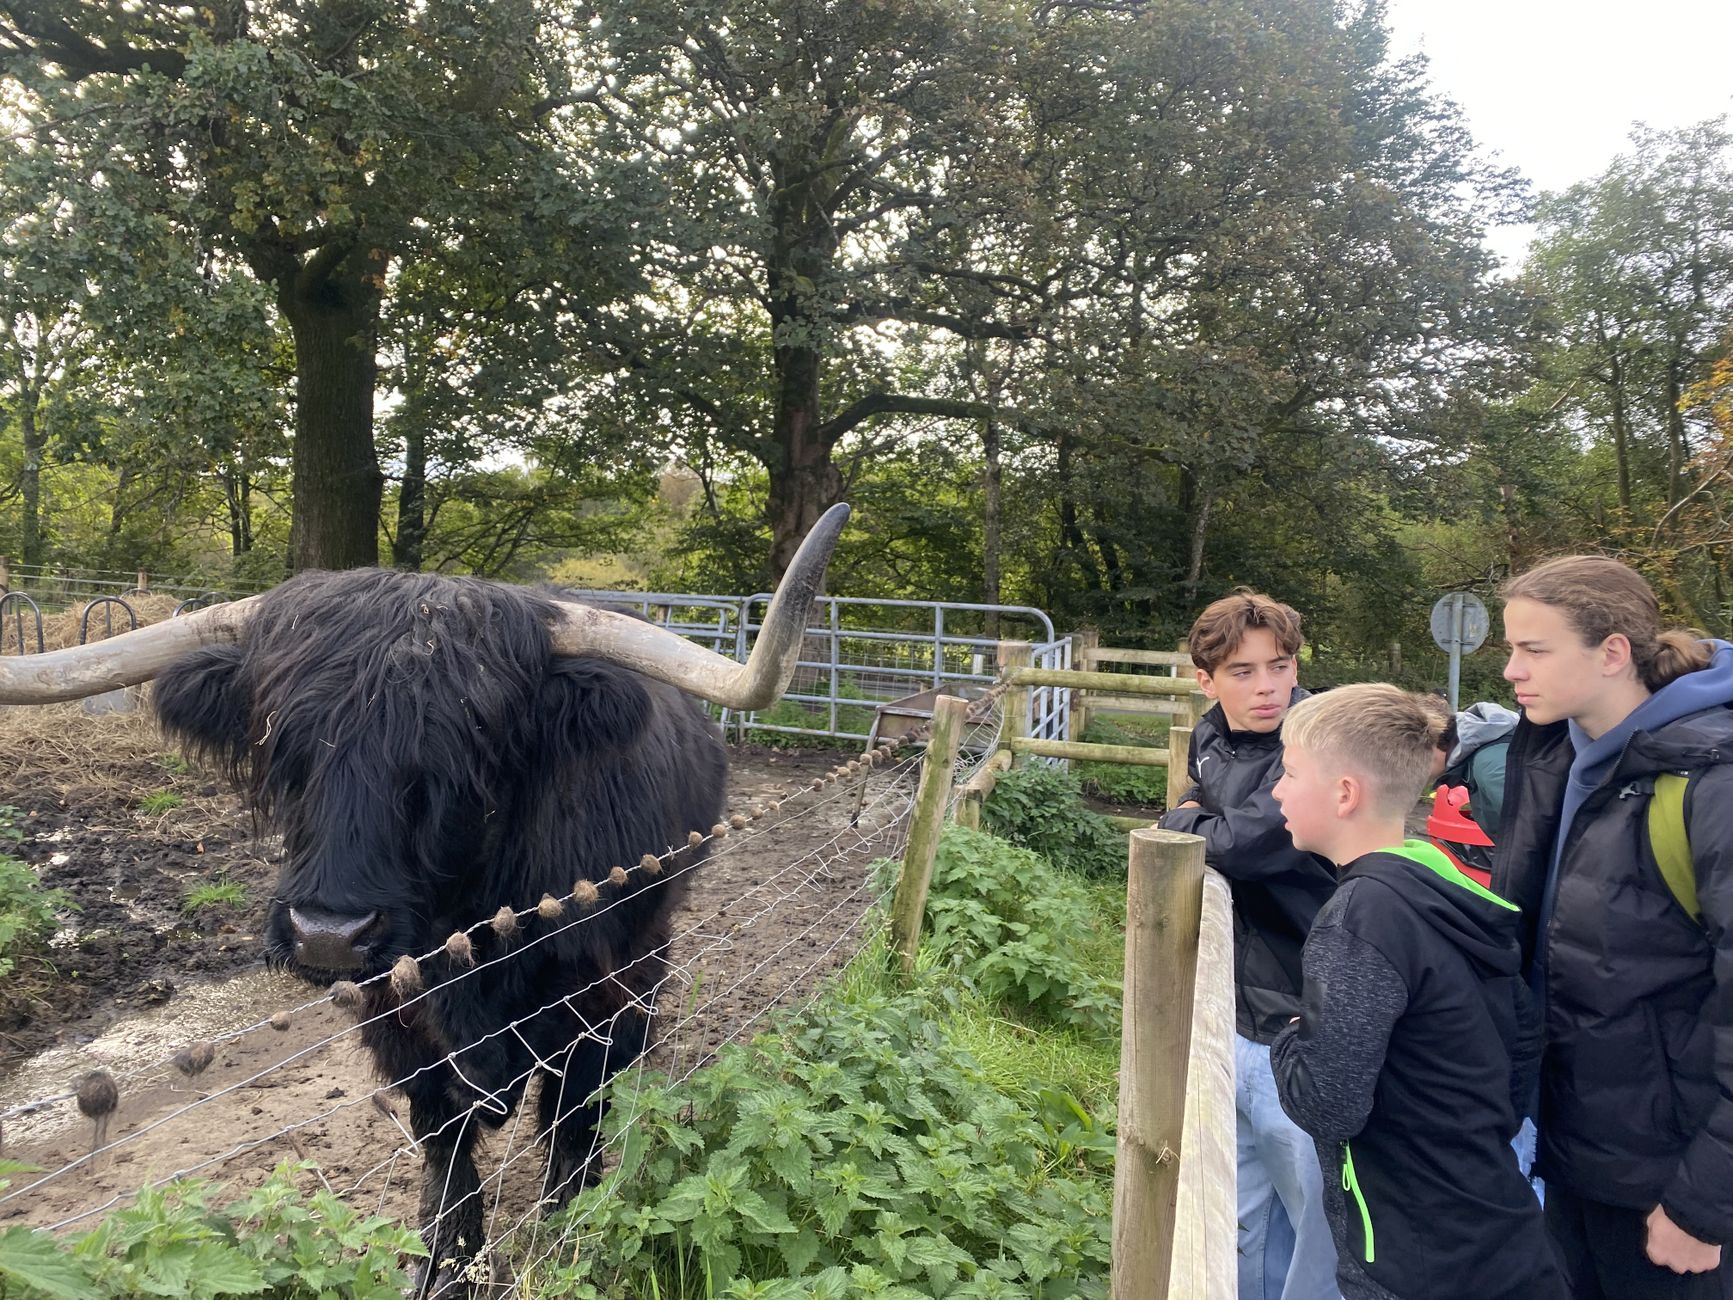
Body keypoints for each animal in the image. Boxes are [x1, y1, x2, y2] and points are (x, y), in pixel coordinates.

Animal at [0, 505, 847, 1296]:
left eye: (464, 750)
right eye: (282, 744)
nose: (327, 933)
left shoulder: (600, 987)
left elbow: (574, 1111)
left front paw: (571, 1226)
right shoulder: (394, 1011)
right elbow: (443, 1140)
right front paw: (446, 1265)